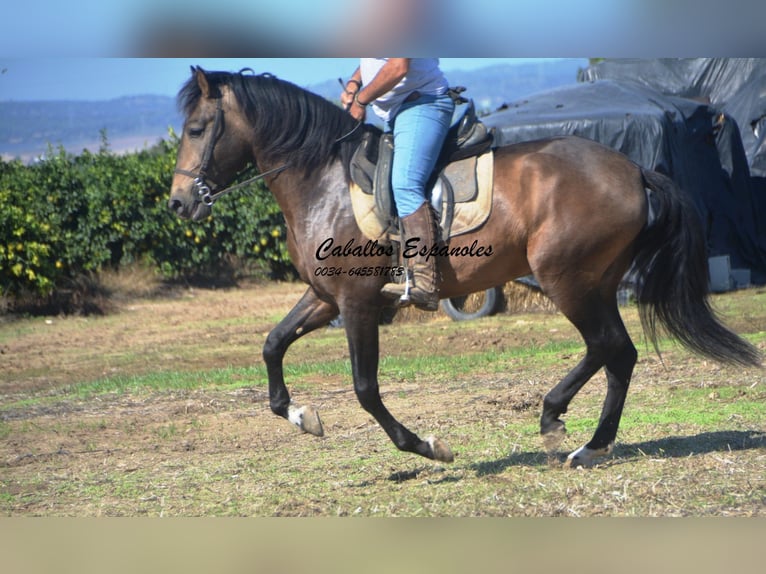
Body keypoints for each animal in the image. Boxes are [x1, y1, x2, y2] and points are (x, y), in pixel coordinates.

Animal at [168, 67, 760, 470]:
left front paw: (426, 446)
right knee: (618, 355)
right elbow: (272, 346)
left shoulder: (357, 303)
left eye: (197, 128)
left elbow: (364, 387)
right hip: (595, 282)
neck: (324, 181)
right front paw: (301, 417)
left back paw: (560, 424)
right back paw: (589, 444)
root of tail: (634, 168)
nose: (178, 204)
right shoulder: (324, 297)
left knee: (608, 347)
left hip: (566, 280)